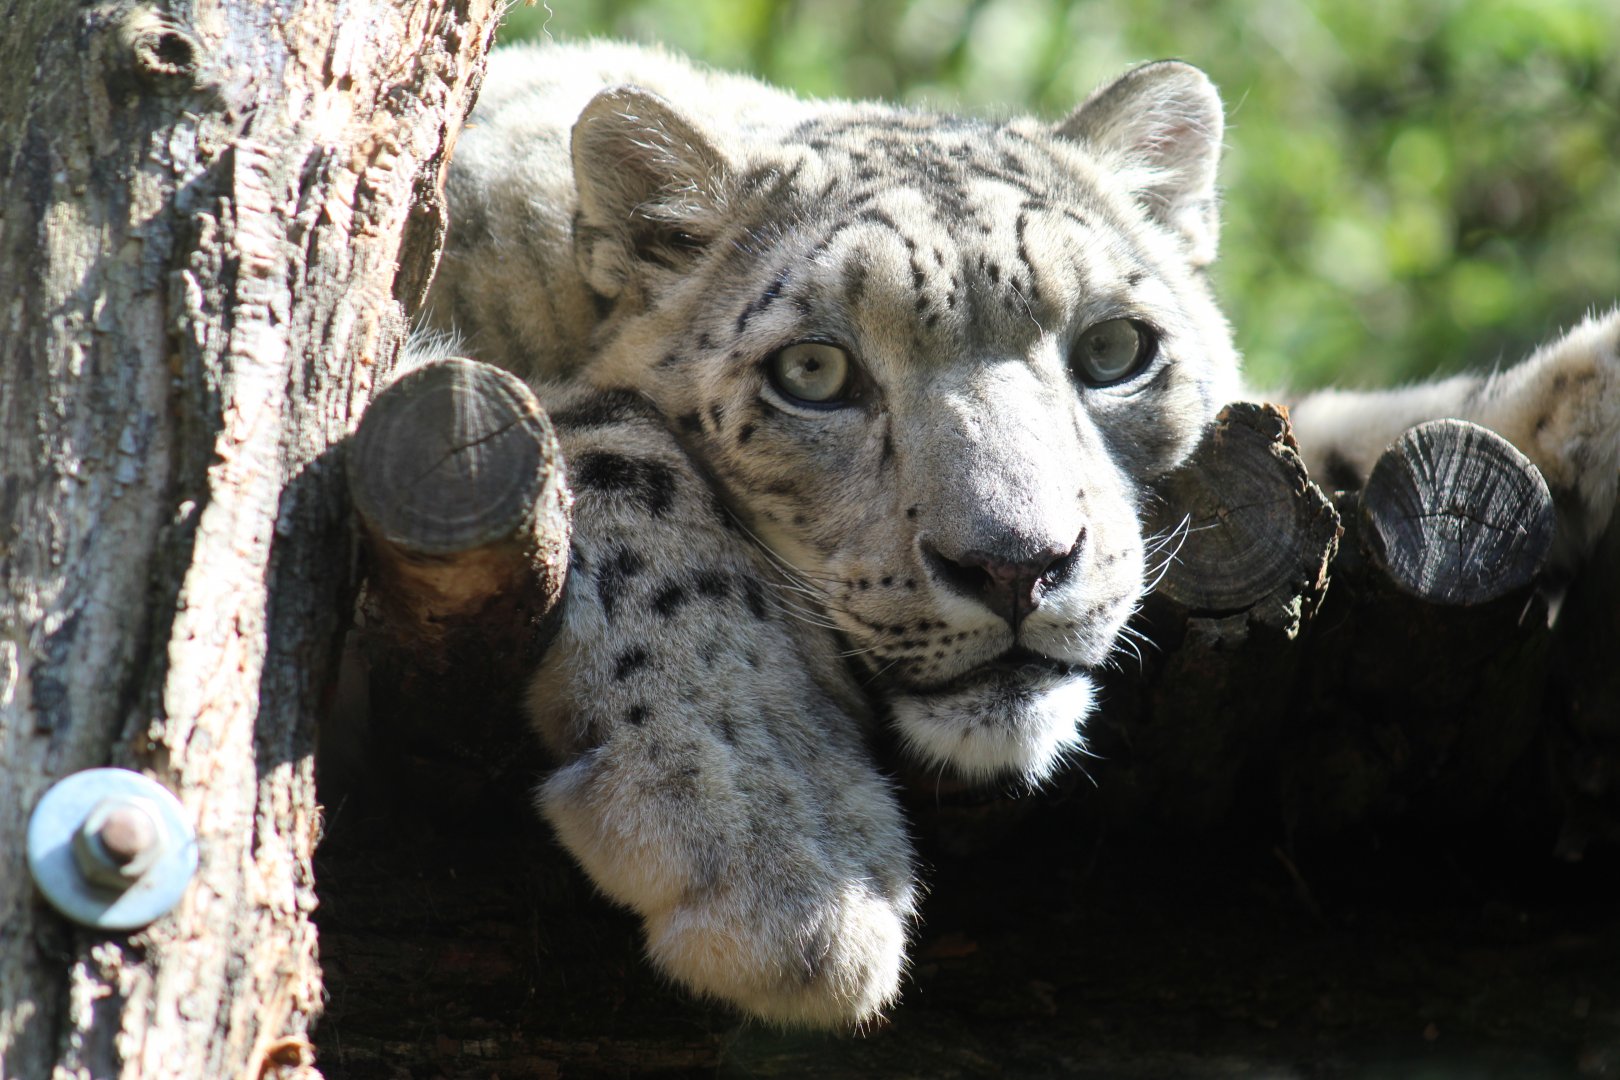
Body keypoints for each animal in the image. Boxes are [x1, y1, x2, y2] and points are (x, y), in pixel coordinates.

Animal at [419, 38, 1620, 1029]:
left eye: (1115, 350)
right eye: (812, 371)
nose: (1015, 565)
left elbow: (1351, 430)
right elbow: (602, 434)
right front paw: (769, 837)